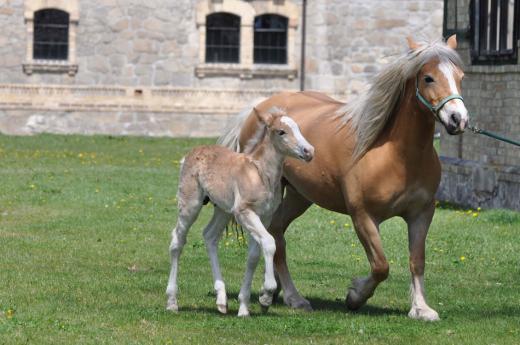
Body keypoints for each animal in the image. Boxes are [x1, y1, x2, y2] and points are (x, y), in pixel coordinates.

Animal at [166, 107, 312, 314]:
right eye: (281, 132)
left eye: (298, 128)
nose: (309, 151)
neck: (260, 174)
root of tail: (190, 154)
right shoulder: (245, 212)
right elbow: (269, 243)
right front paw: (266, 295)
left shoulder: (265, 216)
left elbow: (253, 256)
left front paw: (244, 306)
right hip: (191, 204)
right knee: (177, 240)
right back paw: (172, 301)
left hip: (223, 210)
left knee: (210, 235)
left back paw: (221, 299)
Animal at [217, 35, 470, 320]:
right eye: (428, 78)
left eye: (460, 76)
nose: (458, 119)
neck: (395, 155)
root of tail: (258, 109)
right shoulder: (363, 216)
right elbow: (381, 265)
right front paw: (355, 296)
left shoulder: (421, 214)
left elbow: (417, 260)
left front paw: (421, 308)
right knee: (275, 237)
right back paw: (294, 298)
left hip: (299, 196)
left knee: (277, 231)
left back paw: (278, 289)